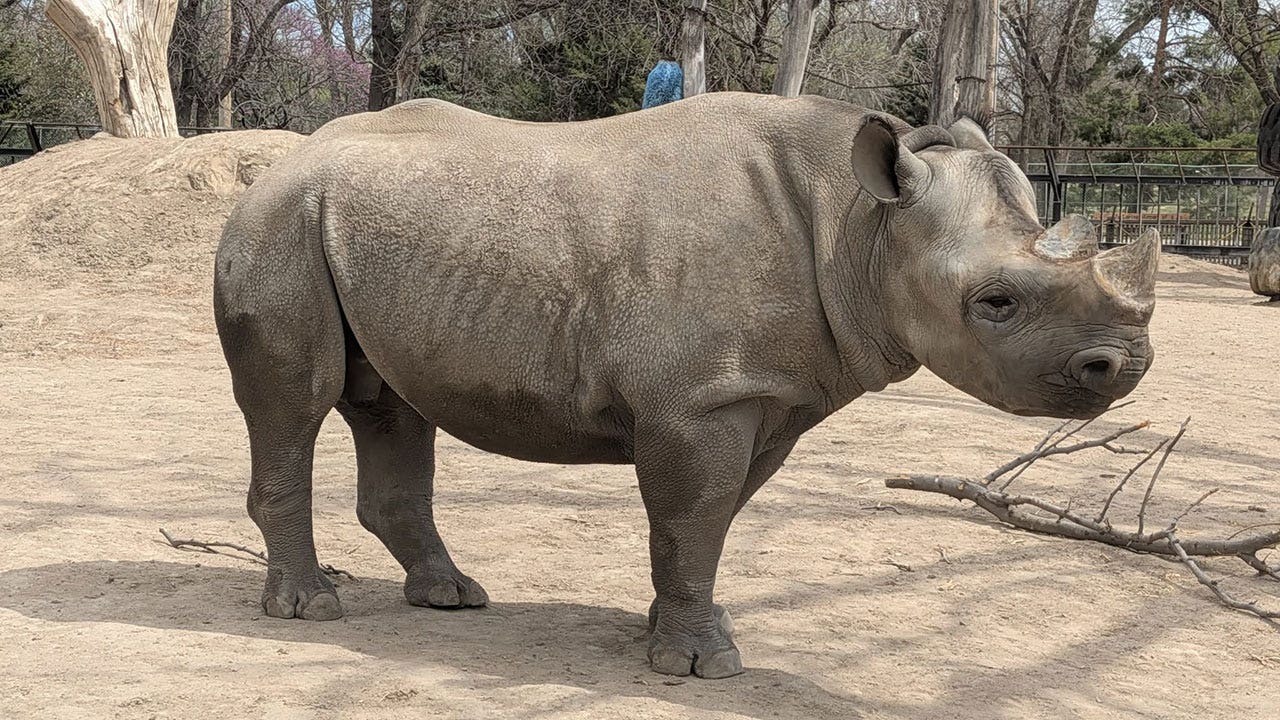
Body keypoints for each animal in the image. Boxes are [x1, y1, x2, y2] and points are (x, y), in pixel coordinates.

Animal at [213, 92, 1158, 679]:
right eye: (996, 303)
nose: (1125, 366)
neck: (861, 223)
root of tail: (277, 167)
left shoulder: (770, 394)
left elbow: (712, 518)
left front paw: (680, 631)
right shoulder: (703, 398)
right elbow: (695, 513)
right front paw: (701, 666)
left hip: (353, 228)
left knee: (390, 403)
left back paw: (451, 598)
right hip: (277, 224)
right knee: (297, 401)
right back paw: (310, 609)